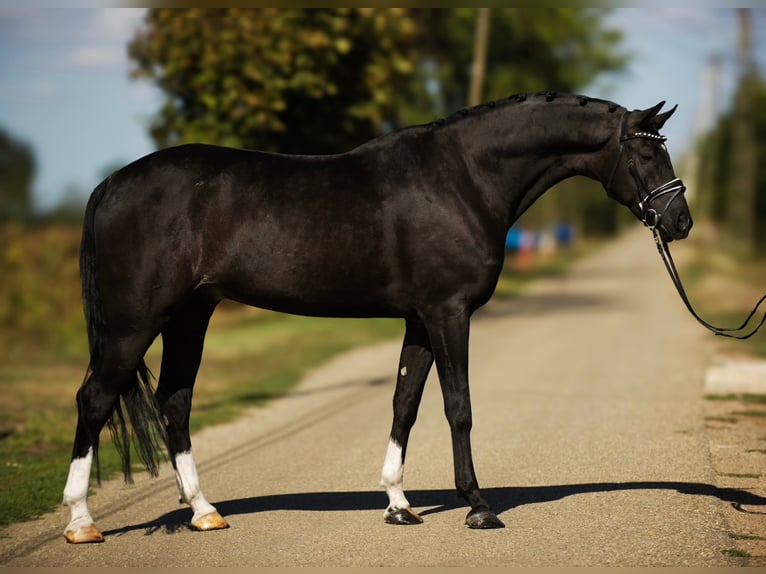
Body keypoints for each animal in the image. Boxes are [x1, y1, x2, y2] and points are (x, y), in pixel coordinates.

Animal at [62, 92, 691, 543]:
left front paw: (398, 505)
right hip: (134, 322)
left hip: (190, 315)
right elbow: (458, 407)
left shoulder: (420, 319)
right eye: (644, 153)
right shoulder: (448, 312)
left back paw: (204, 512)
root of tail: (110, 184)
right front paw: (478, 507)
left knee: (174, 401)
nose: (679, 221)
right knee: (94, 399)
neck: (462, 178)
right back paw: (80, 523)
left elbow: (404, 403)